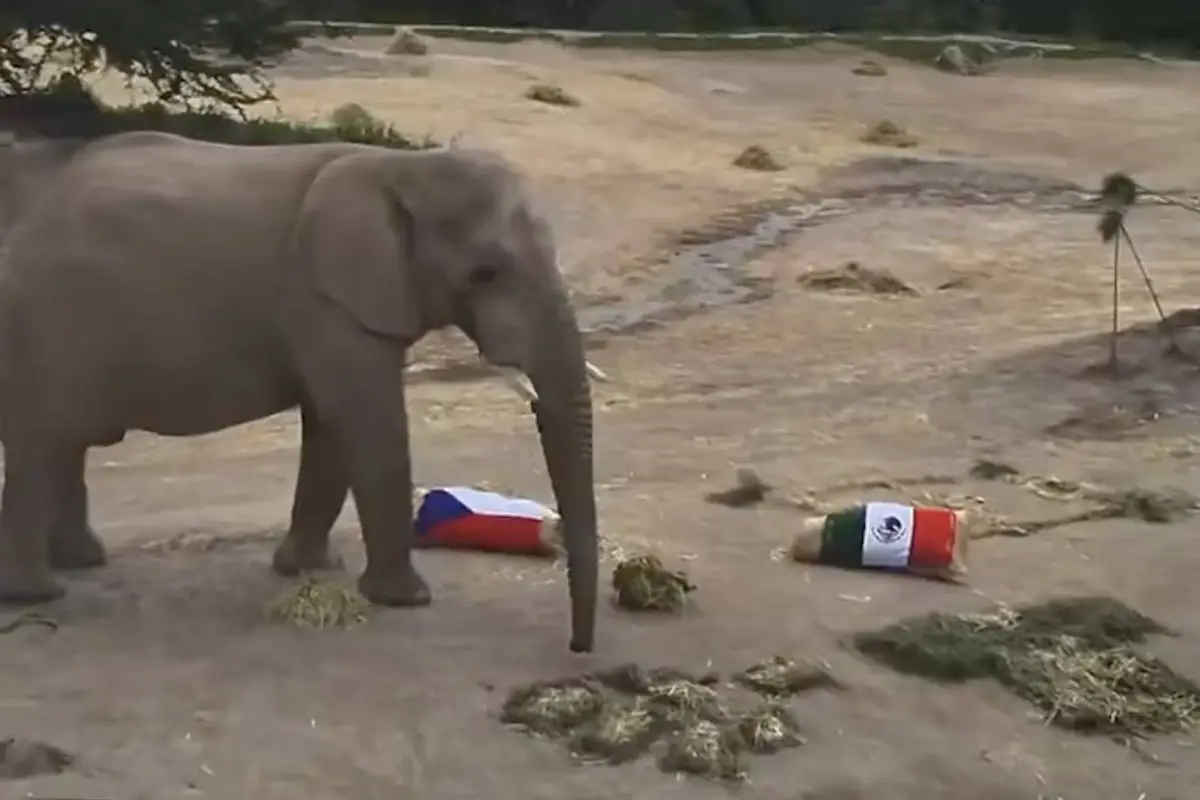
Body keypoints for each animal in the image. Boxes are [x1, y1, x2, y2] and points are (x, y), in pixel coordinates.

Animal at [0, 129, 599, 653]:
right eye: (484, 273)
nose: (577, 647)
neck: (404, 166)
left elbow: (331, 424)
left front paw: (307, 570)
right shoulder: (326, 297)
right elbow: (364, 418)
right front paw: (406, 600)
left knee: (65, 441)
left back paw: (80, 562)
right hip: (45, 319)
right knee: (41, 441)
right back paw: (38, 594)